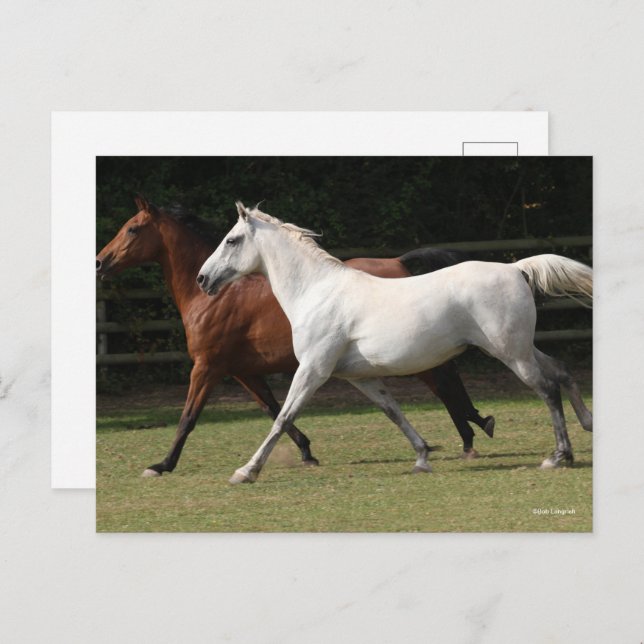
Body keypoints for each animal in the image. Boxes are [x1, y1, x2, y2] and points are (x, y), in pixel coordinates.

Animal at [96, 197, 495, 478]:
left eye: (132, 229)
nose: (100, 262)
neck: (214, 299)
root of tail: (398, 262)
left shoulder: (207, 367)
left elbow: (189, 418)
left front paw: (162, 465)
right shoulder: (243, 371)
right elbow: (275, 410)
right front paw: (306, 451)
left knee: (445, 381)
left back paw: (470, 435)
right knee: (445, 382)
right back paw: (470, 432)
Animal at [197, 202, 593, 484]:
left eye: (231, 240)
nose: (203, 279)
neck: (317, 292)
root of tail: (515, 269)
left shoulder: (313, 370)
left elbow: (283, 417)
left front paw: (245, 472)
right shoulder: (360, 377)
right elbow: (394, 412)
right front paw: (421, 458)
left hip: (510, 353)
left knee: (547, 389)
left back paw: (558, 456)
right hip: (520, 348)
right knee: (561, 371)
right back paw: (586, 427)